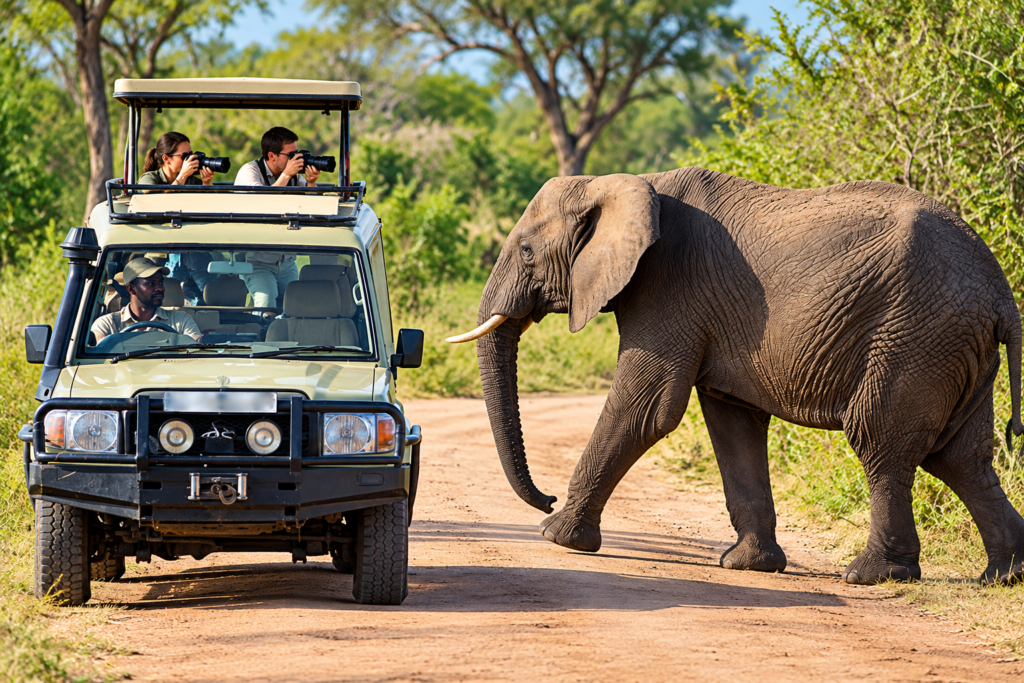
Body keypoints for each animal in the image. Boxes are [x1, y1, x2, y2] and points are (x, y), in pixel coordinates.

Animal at [447, 166, 1024, 585]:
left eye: (526, 252)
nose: (545, 496)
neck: (615, 183)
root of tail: (1000, 292)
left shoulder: (669, 288)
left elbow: (645, 407)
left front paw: (556, 535)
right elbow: (733, 423)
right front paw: (747, 566)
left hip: (915, 336)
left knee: (881, 440)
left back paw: (871, 575)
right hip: (952, 345)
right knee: (960, 458)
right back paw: (1003, 577)